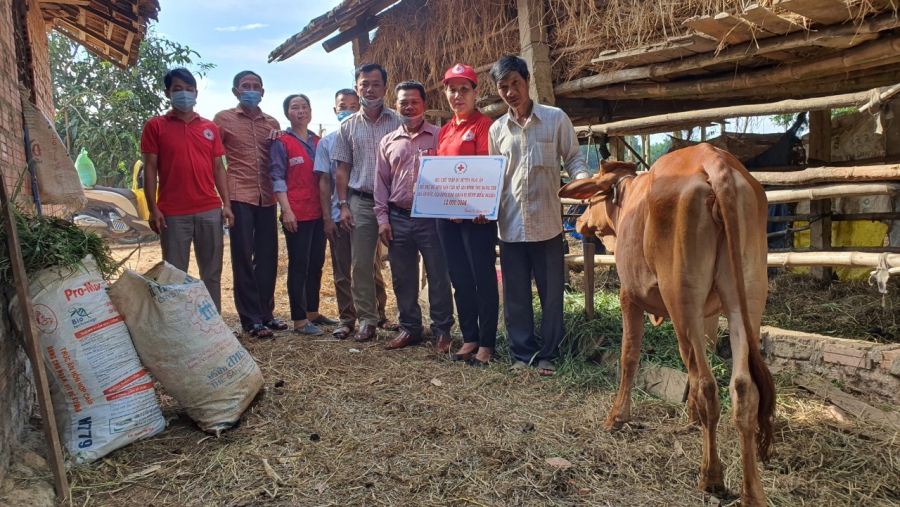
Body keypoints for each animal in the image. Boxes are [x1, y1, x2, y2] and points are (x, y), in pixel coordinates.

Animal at [556, 144, 772, 507]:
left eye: (589, 200)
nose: (579, 221)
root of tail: (714, 160)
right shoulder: (704, 314)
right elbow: (690, 366)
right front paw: (692, 415)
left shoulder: (629, 295)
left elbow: (629, 357)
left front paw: (617, 416)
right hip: (747, 297)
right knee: (742, 388)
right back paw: (752, 492)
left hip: (682, 296)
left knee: (709, 385)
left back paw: (711, 476)